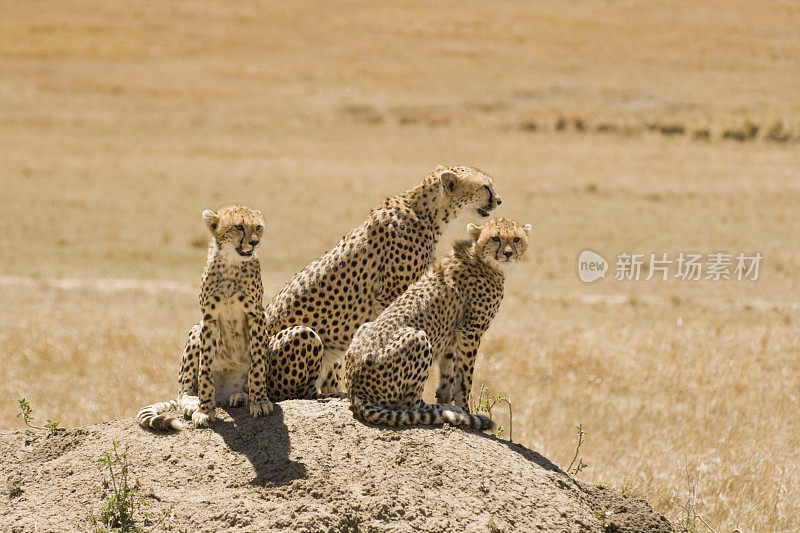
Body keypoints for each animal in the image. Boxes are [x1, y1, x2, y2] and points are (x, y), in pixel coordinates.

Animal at [136, 206, 274, 430]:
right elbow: (205, 369)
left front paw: (260, 401)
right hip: (195, 329)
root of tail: (223, 393)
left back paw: (241, 396)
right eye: (238, 227)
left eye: (258, 227)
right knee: (183, 389)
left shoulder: (256, 315)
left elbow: (257, 365)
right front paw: (205, 410)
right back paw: (193, 401)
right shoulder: (208, 318)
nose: (254, 242)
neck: (232, 263)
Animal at [262, 164, 500, 402]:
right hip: (304, 335)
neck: (427, 212)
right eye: (485, 187)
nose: (499, 200)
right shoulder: (392, 293)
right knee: (293, 393)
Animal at [346, 216, 528, 428]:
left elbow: (448, 375)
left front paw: (446, 397)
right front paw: (464, 408)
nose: (508, 253)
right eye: (495, 238)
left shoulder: (452, 336)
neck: (484, 260)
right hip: (418, 337)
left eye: (516, 239)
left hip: (363, 327)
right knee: (411, 404)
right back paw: (440, 409)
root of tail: (354, 389)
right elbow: (464, 377)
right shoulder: (471, 331)